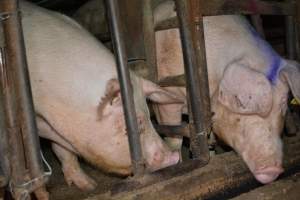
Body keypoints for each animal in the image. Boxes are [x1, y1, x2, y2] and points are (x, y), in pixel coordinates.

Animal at [4, 0, 183, 191]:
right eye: (137, 122)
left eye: (150, 116)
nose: (173, 157)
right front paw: (90, 187)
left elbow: (63, 151)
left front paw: (88, 185)